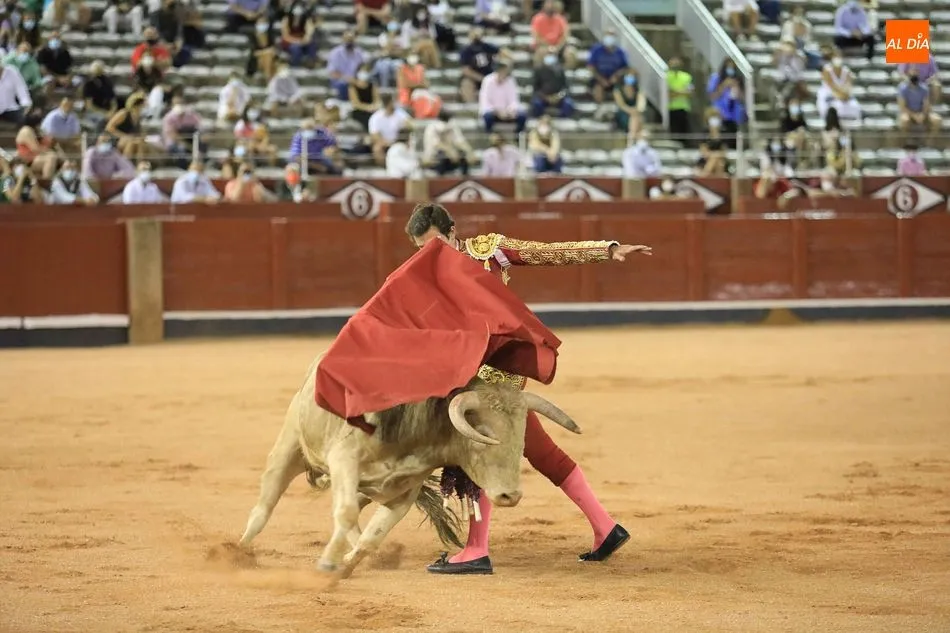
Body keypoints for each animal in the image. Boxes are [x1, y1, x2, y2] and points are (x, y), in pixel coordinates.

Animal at [238, 355, 581, 579]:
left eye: (522, 437)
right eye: (483, 435)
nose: (511, 496)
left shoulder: (403, 492)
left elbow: (372, 535)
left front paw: (344, 567)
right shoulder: (344, 458)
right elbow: (346, 513)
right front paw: (327, 564)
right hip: (290, 446)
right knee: (264, 507)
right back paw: (237, 551)